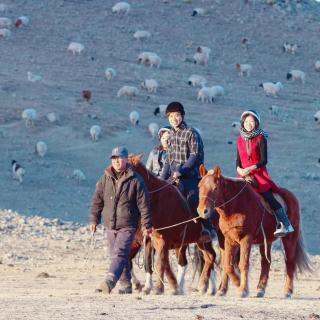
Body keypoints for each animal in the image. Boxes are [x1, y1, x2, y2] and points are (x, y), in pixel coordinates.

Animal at [128, 155, 218, 296]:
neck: (157, 200)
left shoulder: (161, 240)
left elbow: (160, 263)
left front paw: (158, 288)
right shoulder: (148, 239)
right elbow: (148, 263)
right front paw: (147, 287)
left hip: (203, 240)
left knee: (210, 257)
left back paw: (204, 286)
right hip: (194, 242)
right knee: (196, 261)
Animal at [196, 166, 312, 298]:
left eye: (215, 188)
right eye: (199, 187)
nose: (202, 211)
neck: (235, 205)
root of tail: (292, 196)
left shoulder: (246, 239)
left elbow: (243, 264)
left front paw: (242, 289)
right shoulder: (229, 240)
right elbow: (227, 265)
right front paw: (226, 289)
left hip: (289, 238)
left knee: (290, 262)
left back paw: (287, 290)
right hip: (266, 240)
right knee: (266, 262)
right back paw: (261, 289)